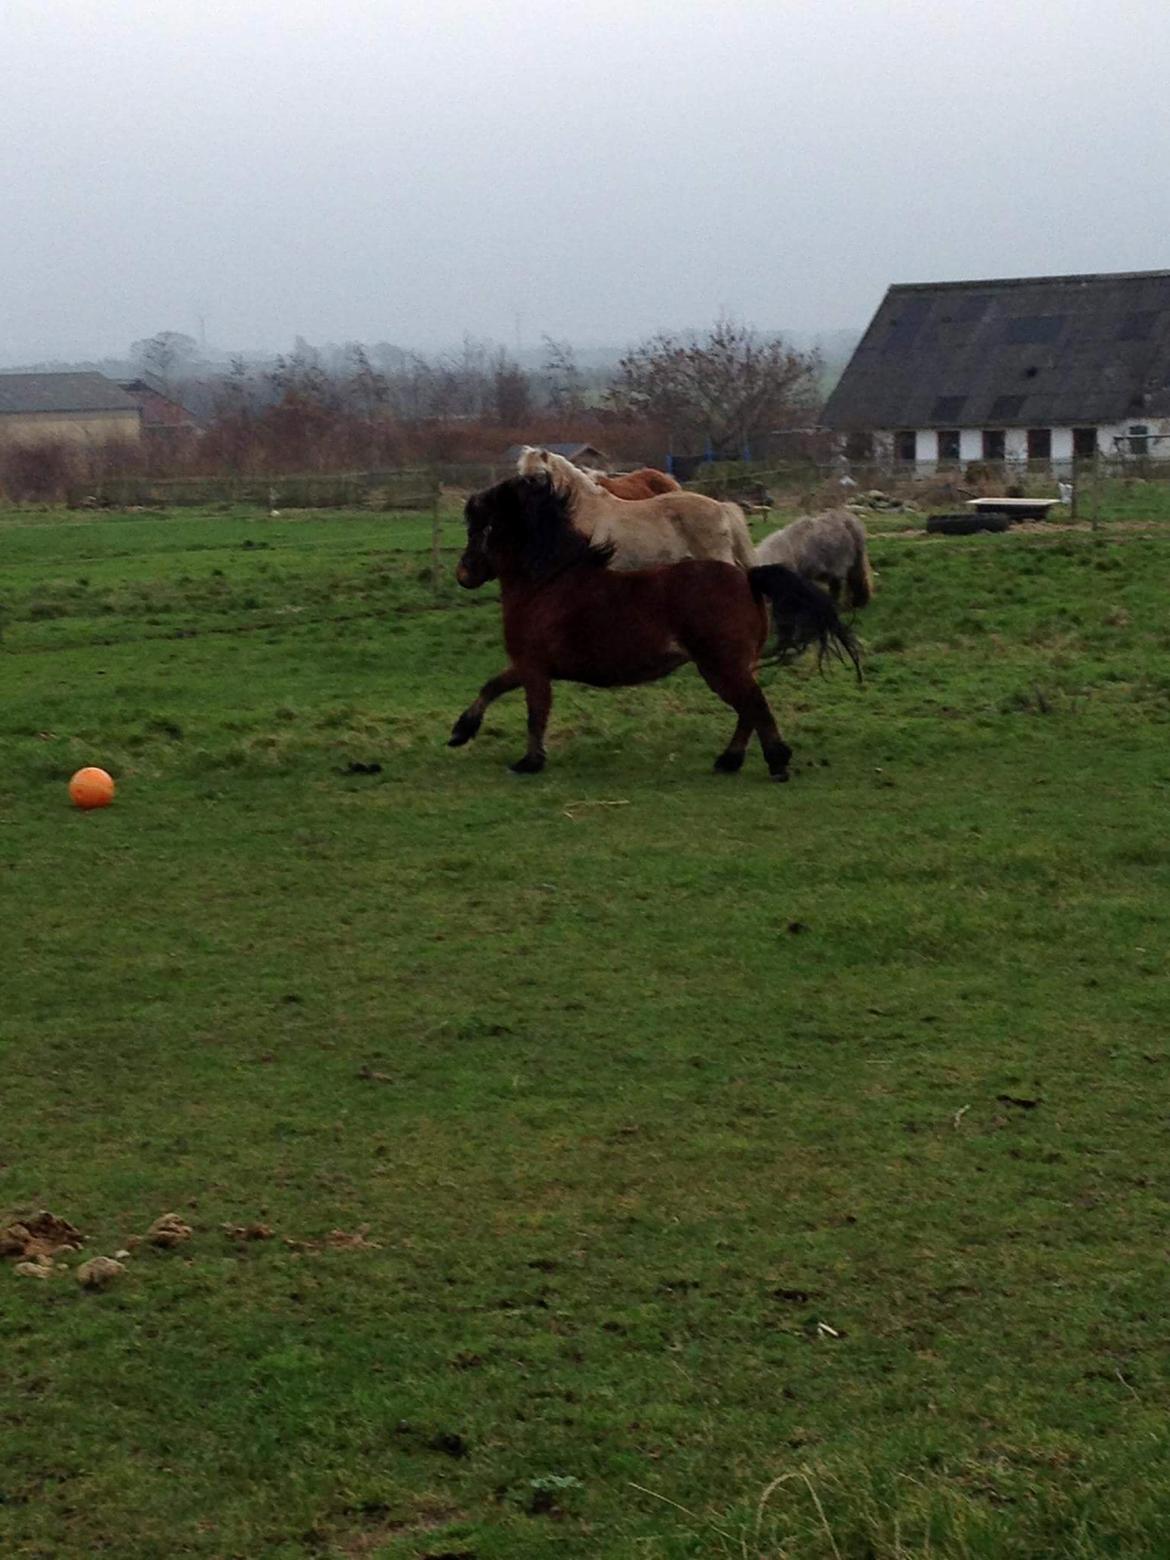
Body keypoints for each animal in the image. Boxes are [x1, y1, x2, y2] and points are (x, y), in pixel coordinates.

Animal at [449, 464, 861, 776]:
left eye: (479, 528)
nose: (463, 574)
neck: (548, 582)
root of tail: (747, 578)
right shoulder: (529, 664)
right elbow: (492, 686)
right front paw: (461, 731)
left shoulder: (534, 667)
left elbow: (535, 712)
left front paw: (530, 762)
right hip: (733, 666)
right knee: (749, 708)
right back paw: (730, 760)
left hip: (720, 666)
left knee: (754, 704)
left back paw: (774, 761)